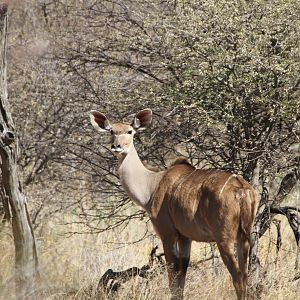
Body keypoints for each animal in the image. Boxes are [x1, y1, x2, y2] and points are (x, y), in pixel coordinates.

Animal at [89, 109, 258, 300]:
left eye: (130, 131)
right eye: (111, 131)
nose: (117, 146)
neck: (152, 185)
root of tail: (242, 189)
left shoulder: (167, 233)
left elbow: (172, 275)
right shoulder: (185, 237)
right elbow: (181, 275)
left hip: (224, 239)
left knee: (237, 276)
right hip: (244, 236)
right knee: (245, 274)